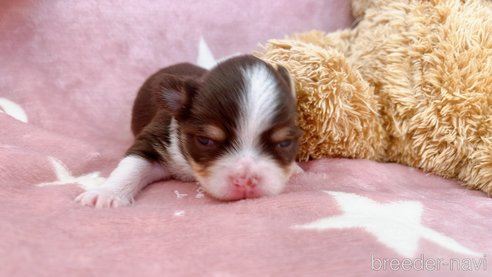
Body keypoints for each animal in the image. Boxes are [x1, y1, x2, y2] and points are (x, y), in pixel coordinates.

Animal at [75, 54, 302, 207]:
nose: (246, 181)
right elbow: (131, 166)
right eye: (205, 141)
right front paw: (106, 193)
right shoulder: (154, 139)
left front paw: (295, 168)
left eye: (284, 143)